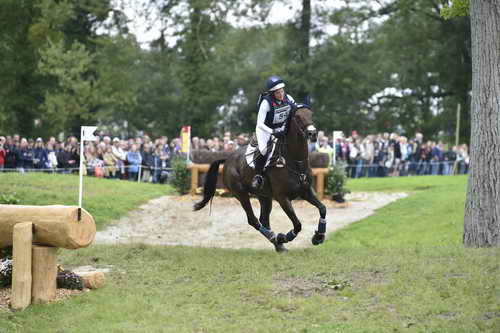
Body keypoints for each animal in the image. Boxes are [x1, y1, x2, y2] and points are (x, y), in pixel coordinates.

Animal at [192, 106, 328, 252]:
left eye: (311, 114)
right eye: (297, 117)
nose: (312, 133)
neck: (295, 162)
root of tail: (228, 159)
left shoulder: (306, 192)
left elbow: (322, 208)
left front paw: (318, 236)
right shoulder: (282, 198)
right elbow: (297, 225)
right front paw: (284, 237)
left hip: (264, 197)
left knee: (264, 220)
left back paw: (278, 244)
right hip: (241, 194)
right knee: (253, 220)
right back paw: (276, 238)